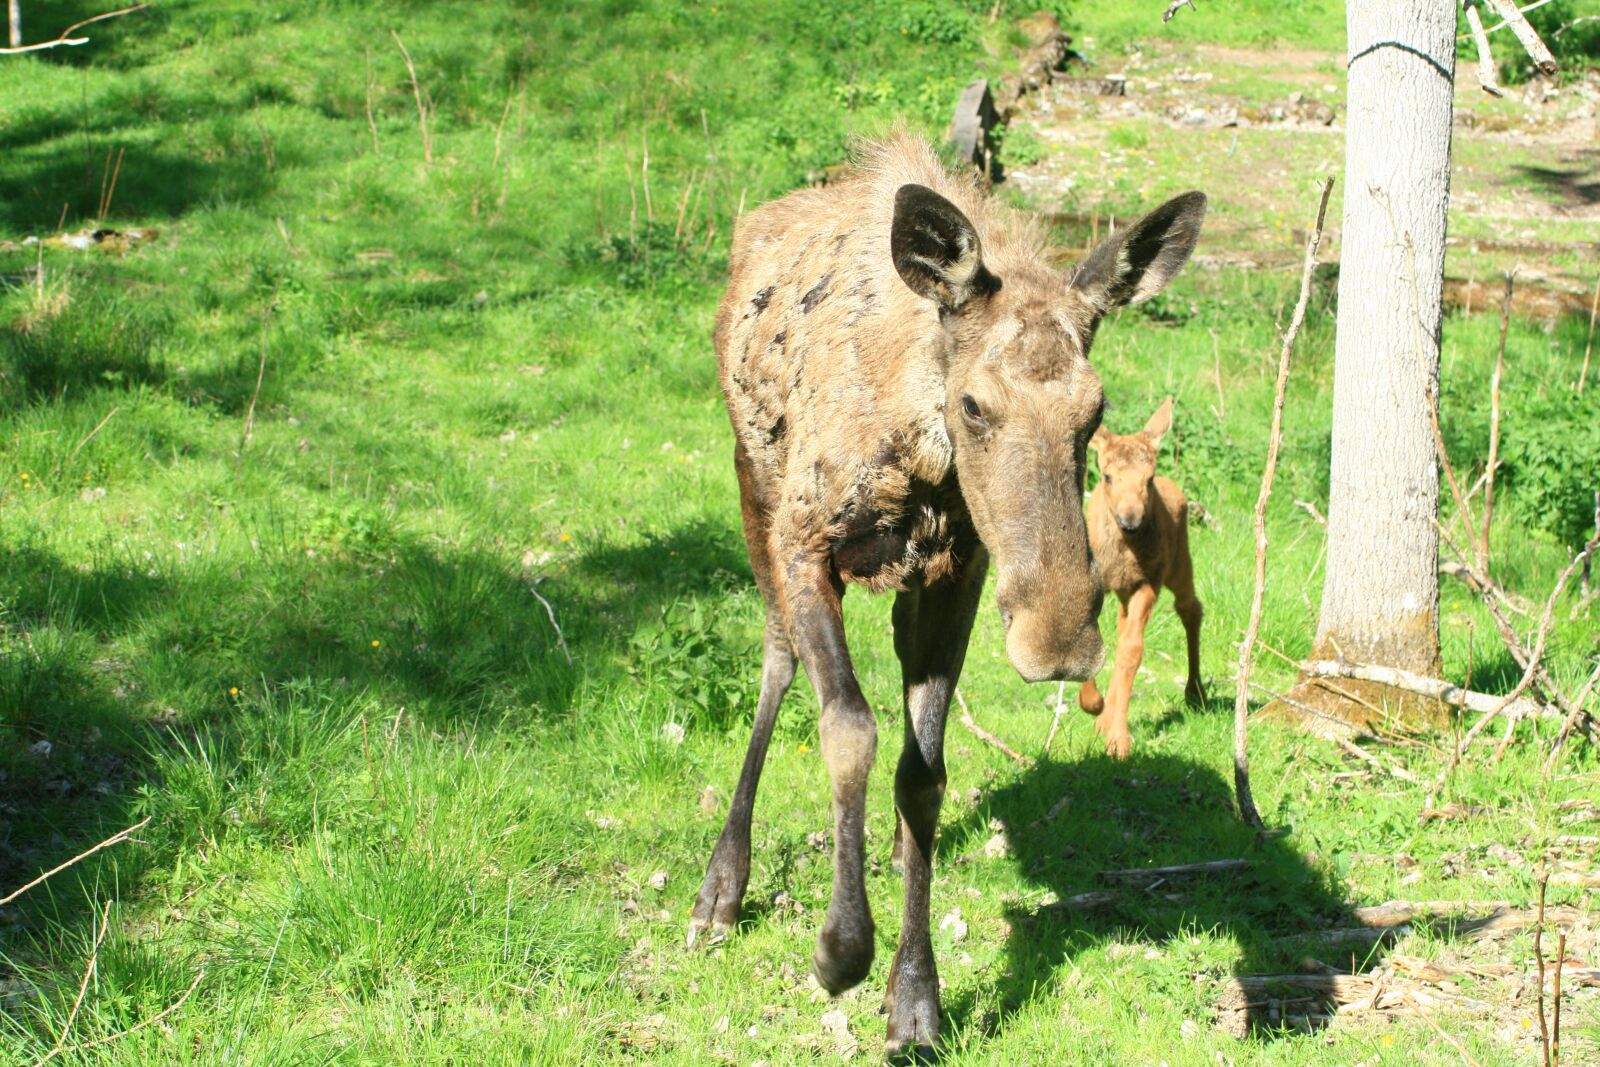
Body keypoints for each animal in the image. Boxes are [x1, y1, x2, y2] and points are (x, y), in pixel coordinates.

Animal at [1077, 397, 1205, 759]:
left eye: (1148, 478)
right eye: (1107, 476)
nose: (1130, 520)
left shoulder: (1148, 581)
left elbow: (1133, 651)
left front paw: (1119, 739)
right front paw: (1093, 704)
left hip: (1178, 564)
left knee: (1190, 608)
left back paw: (1195, 691)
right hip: (1125, 590)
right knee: (1123, 628)